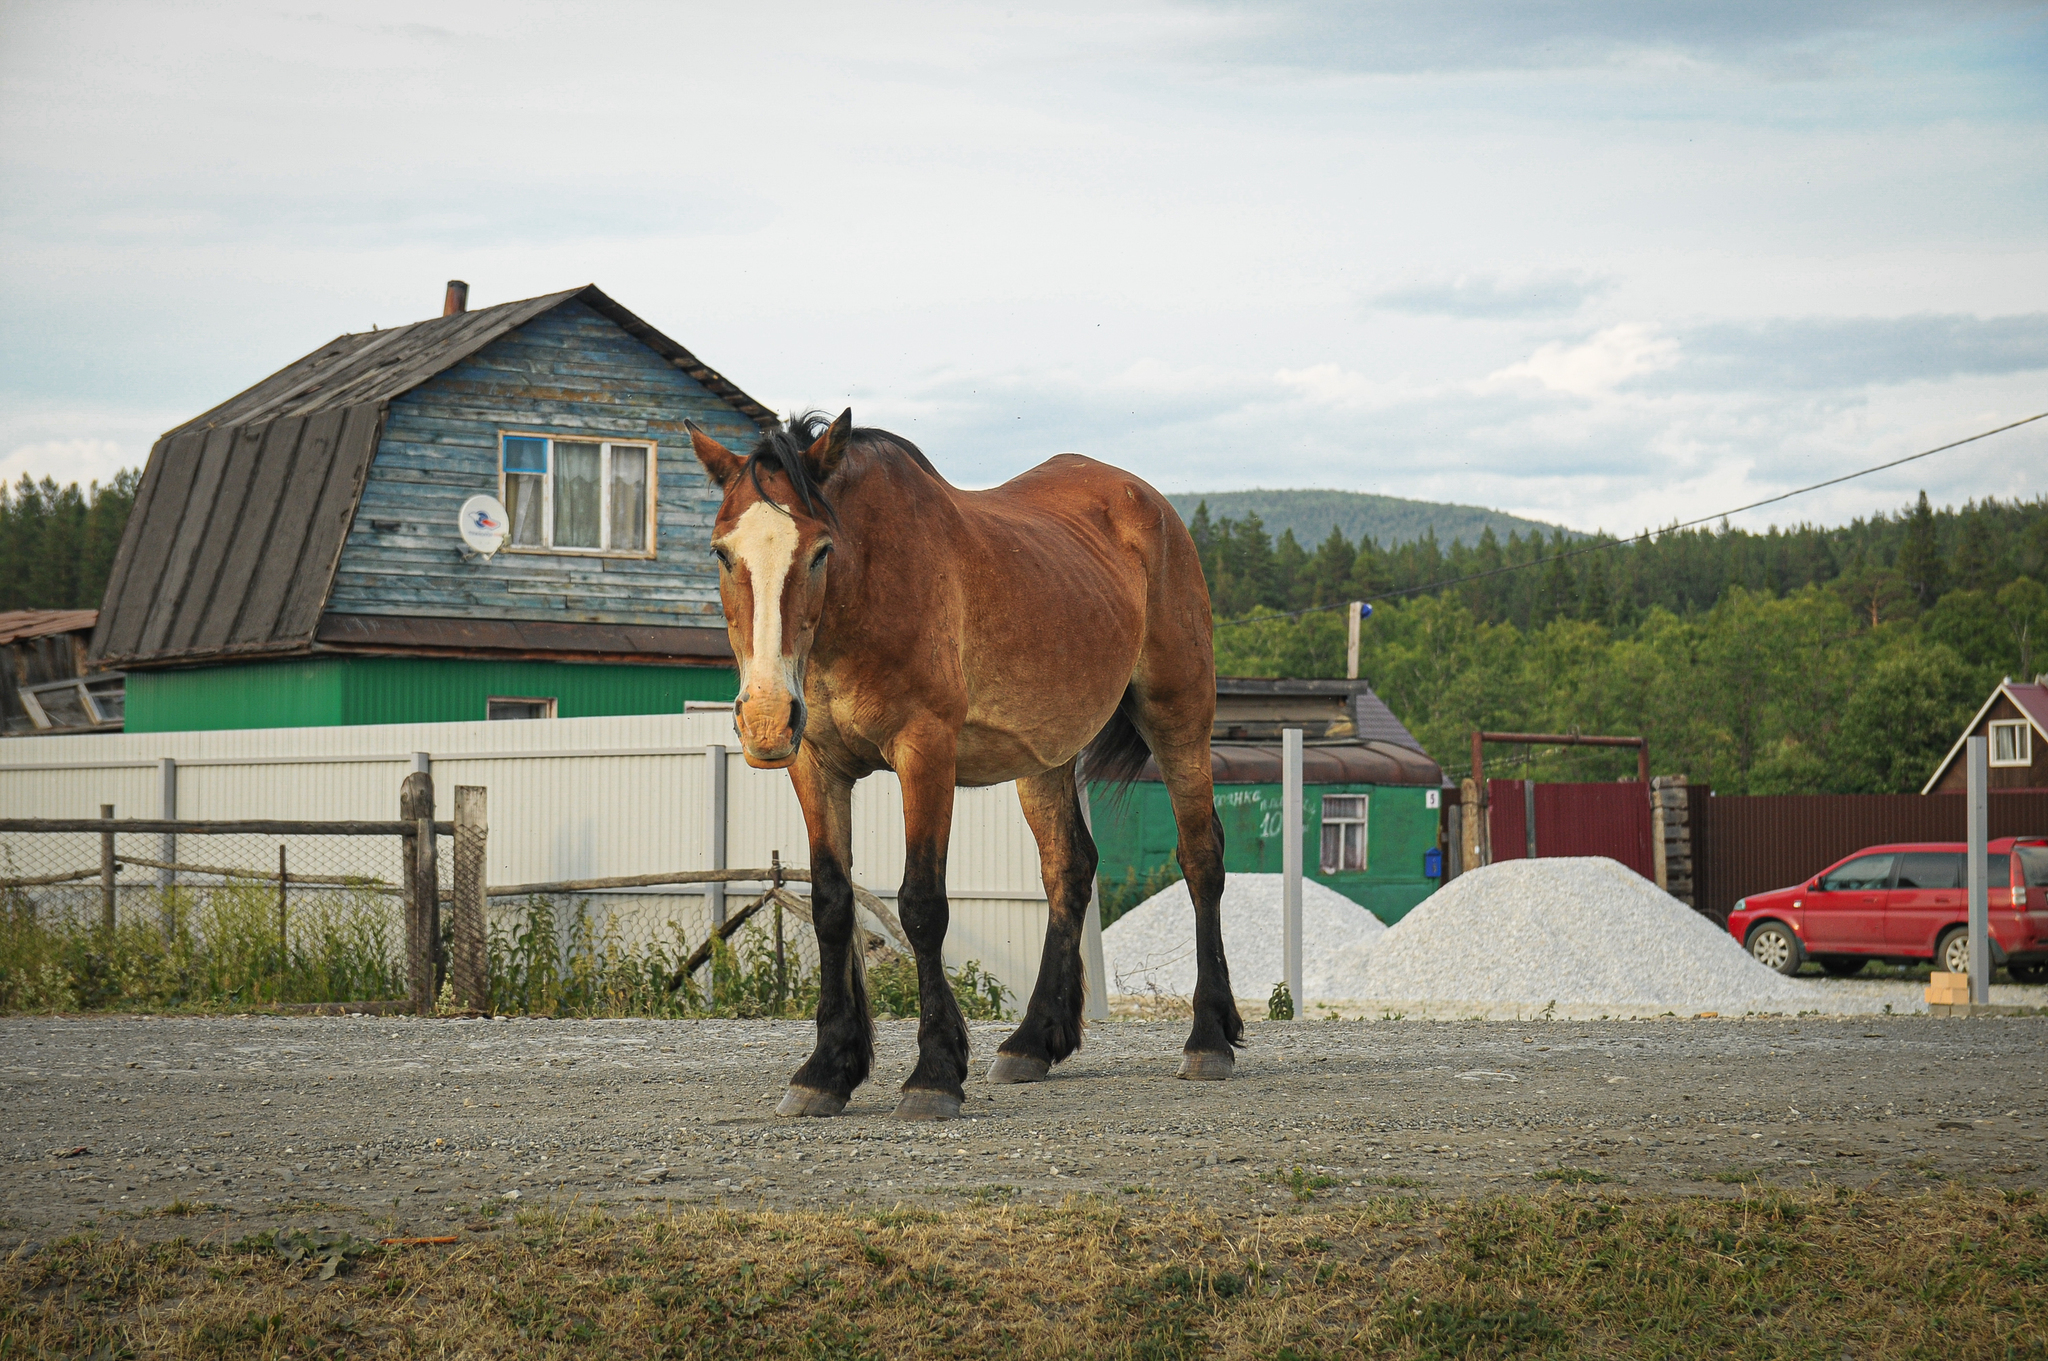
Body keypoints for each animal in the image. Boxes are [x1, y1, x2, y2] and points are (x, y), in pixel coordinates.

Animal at [688, 409, 1236, 1121]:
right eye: (722, 553)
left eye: (820, 551)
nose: (765, 717)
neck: (867, 590)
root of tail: (1153, 505)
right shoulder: (814, 764)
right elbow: (833, 904)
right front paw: (827, 1069)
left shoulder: (926, 752)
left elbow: (922, 905)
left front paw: (935, 1074)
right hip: (1043, 757)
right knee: (1069, 869)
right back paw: (1033, 1041)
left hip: (1178, 719)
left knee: (1200, 858)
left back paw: (1210, 1037)